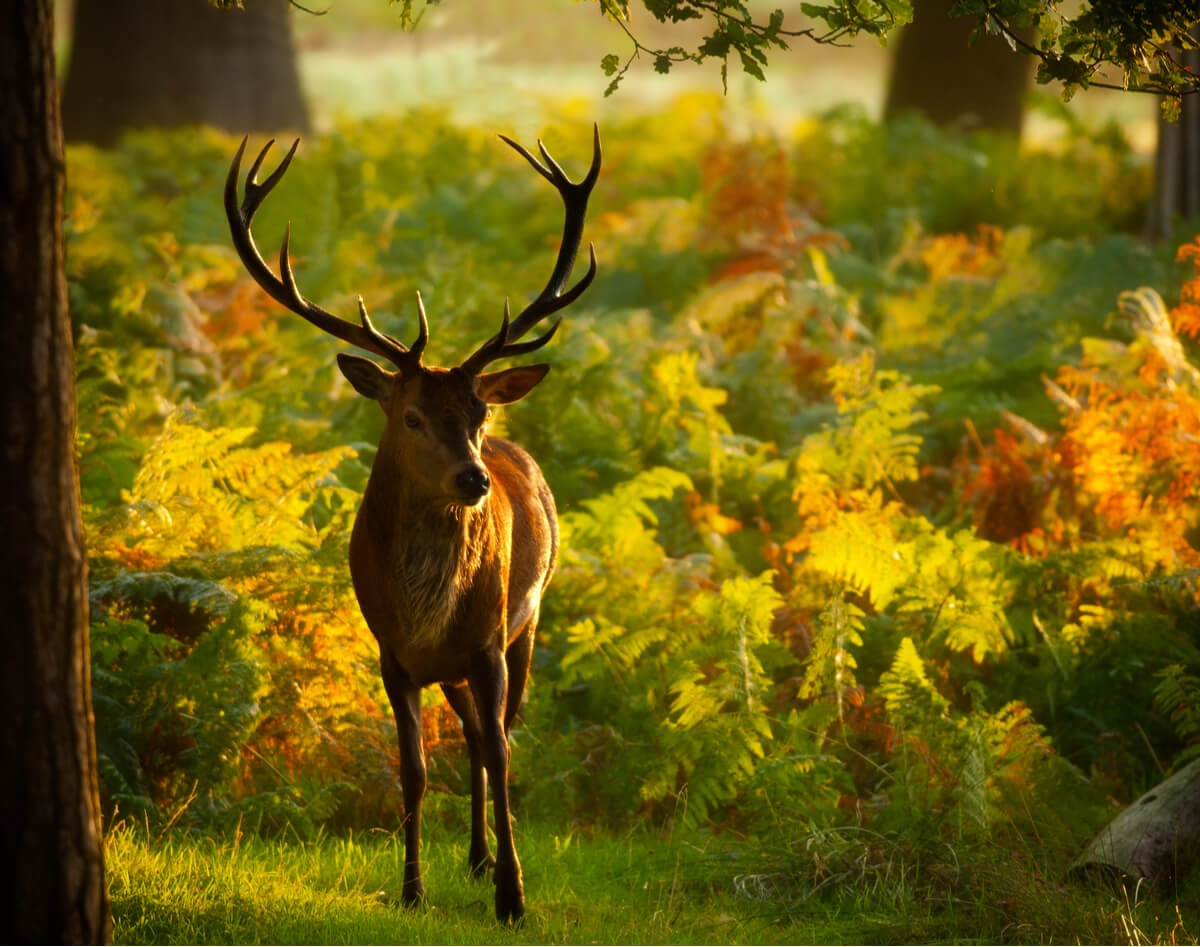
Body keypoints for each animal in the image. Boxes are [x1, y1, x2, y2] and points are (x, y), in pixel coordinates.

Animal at [225, 127, 600, 921]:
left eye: (478, 412)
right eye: (411, 416)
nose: (474, 479)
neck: (426, 613)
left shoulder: (487, 641)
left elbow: (500, 752)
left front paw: (514, 896)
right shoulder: (391, 654)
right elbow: (414, 769)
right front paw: (411, 889)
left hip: (527, 622)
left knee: (496, 738)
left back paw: (490, 861)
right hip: (455, 665)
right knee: (469, 735)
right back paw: (475, 855)